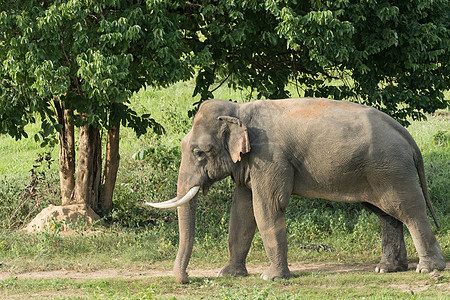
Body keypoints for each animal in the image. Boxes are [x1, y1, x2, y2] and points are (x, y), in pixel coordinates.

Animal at [146, 98, 444, 284]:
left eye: (199, 152)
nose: (187, 280)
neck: (239, 109)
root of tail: (407, 135)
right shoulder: (250, 163)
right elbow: (241, 213)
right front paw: (227, 274)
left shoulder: (270, 158)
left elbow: (267, 208)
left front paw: (271, 278)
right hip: (375, 172)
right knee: (385, 213)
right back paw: (387, 269)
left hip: (391, 169)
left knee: (408, 210)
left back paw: (427, 269)